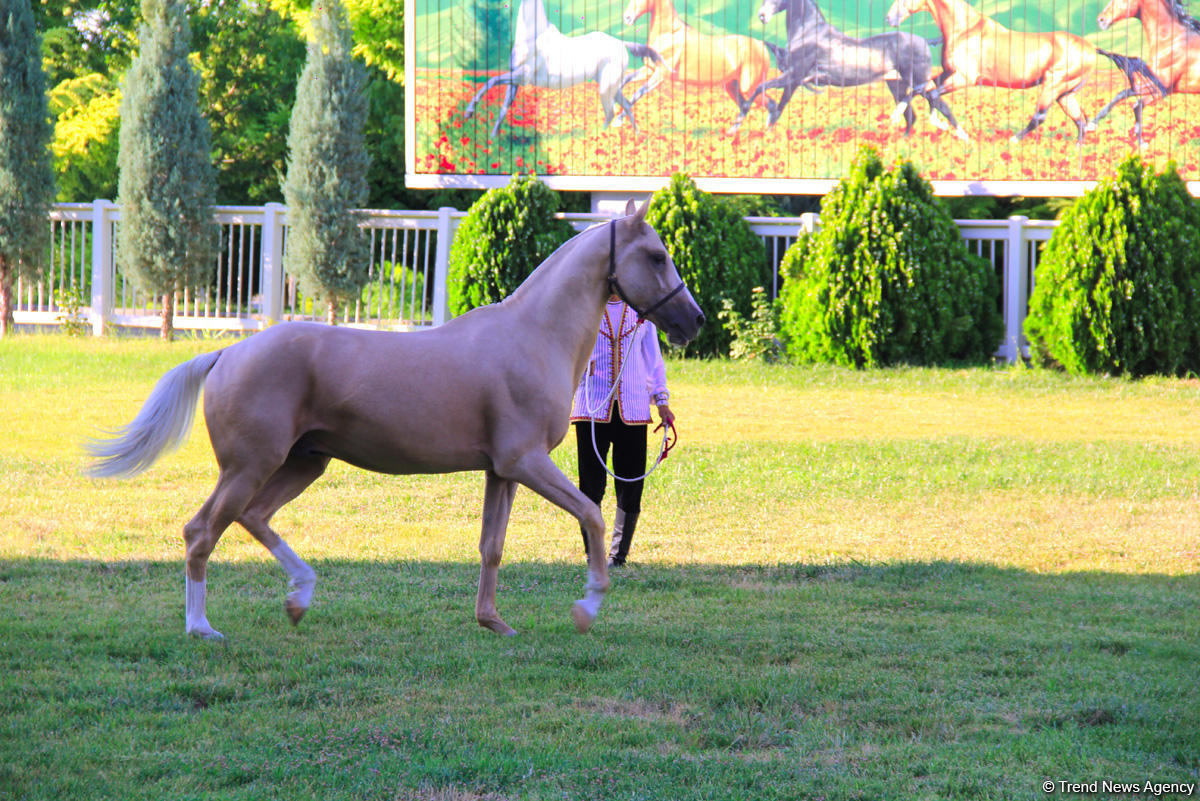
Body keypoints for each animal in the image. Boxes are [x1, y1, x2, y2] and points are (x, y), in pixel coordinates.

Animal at [463, 0, 662, 139]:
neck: (533, 36)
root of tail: (622, 43)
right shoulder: (515, 82)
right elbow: (504, 107)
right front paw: (492, 138)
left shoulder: (522, 77)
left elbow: (491, 81)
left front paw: (469, 112)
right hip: (611, 86)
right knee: (626, 105)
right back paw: (637, 137)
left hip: (606, 88)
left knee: (611, 112)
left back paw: (599, 138)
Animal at [624, 0, 772, 122]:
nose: (627, 17)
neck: (668, 34)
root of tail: (761, 45)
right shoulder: (650, 70)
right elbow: (626, 81)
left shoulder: (660, 74)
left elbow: (637, 93)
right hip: (733, 86)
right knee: (744, 108)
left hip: (748, 88)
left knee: (770, 104)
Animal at [720, 0, 964, 134]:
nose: (762, 16)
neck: (807, 32)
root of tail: (926, 41)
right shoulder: (795, 81)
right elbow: (779, 107)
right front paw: (767, 130)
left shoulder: (792, 76)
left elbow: (759, 89)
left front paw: (735, 125)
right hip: (897, 86)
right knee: (912, 115)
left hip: (919, 83)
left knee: (940, 105)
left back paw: (961, 136)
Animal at [888, 0, 1156, 142]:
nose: (890, 18)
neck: (965, 30)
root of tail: (1092, 48)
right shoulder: (947, 74)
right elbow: (922, 89)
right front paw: (902, 118)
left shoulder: (965, 79)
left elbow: (932, 95)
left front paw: (943, 126)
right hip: (1065, 93)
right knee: (1080, 120)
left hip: (1053, 85)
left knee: (1041, 116)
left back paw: (1014, 139)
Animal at [1094, 0, 1195, 140]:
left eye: (1121, 0)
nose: (1101, 19)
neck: (1171, 41)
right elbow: (1127, 97)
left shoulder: (1162, 87)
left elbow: (1134, 102)